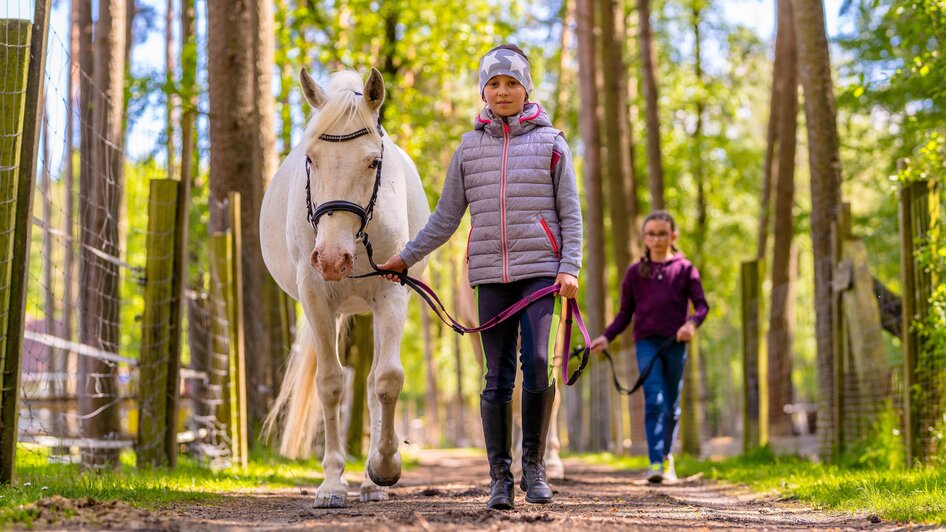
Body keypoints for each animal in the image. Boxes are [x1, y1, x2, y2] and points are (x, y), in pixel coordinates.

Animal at [262, 66, 432, 508]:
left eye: (373, 162)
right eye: (310, 159)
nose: (332, 259)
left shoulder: (392, 292)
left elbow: (387, 380)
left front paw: (384, 468)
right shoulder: (315, 295)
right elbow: (331, 384)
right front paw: (332, 484)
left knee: (372, 384)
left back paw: (372, 485)